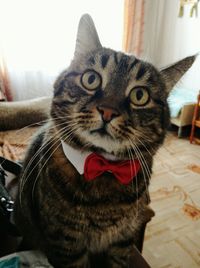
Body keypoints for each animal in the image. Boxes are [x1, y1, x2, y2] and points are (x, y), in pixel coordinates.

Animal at [1, 14, 195, 268]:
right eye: (91, 79)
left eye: (139, 95)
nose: (108, 111)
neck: (105, 169)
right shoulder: (67, 245)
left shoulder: (123, 240)